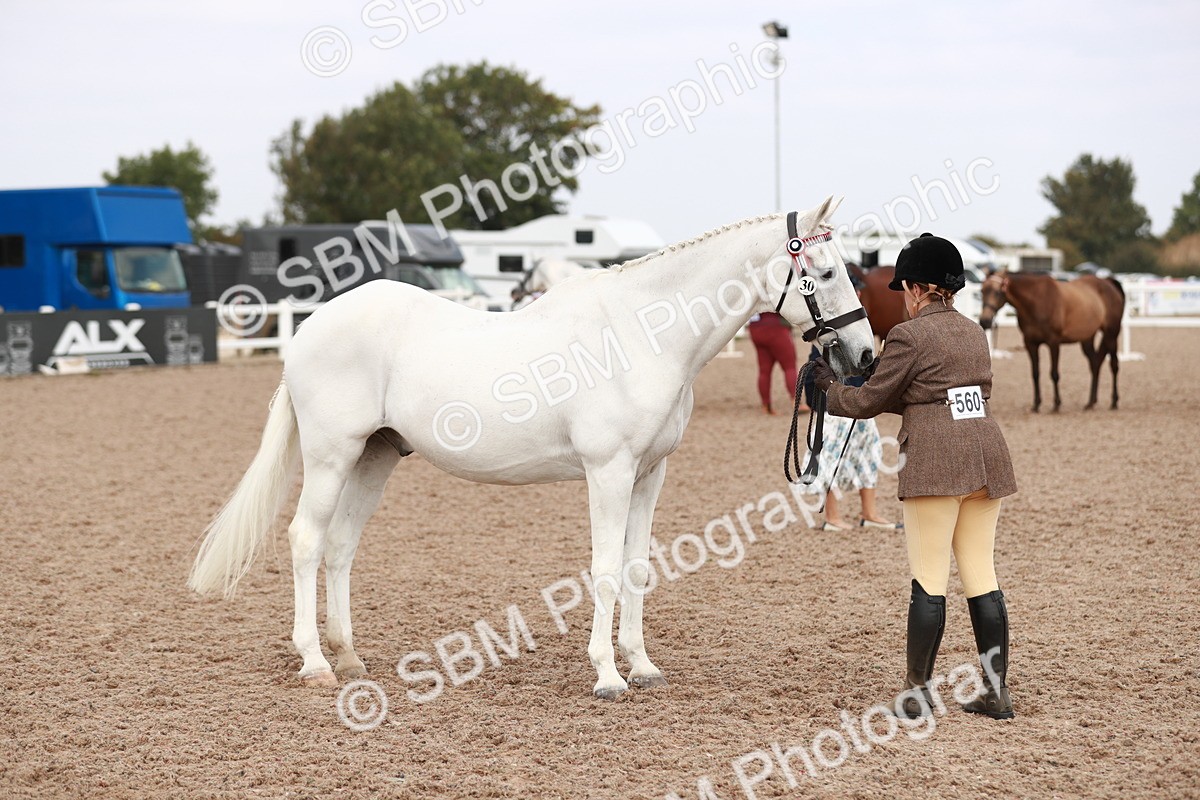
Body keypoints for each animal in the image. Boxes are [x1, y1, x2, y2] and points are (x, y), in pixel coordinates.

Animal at [187, 197, 875, 700]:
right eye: (828, 272)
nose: (866, 355)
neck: (642, 333)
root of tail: (309, 327)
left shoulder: (650, 473)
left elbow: (638, 567)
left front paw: (642, 666)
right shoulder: (608, 472)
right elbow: (604, 569)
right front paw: (607, 677)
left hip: (375, 456)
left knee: (339, 547)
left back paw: (351, 658)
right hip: (333, 455)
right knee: (306, 540)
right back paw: (315, 663)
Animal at [979, 270, 1125, 412]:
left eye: (997, 292)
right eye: (982, 291)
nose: (984, 321)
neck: (1036, 300)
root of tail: (1108, 282)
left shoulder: (1053, 342)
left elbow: (1054, 373)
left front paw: (1056, 404)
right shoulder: (1030, 343)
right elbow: (1035, 373)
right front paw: (1036, 404)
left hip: (1111, 335)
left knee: (1114, 365)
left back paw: (1114, 402)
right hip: (1087, 339)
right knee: (1095, 364)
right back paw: (1090, 402)